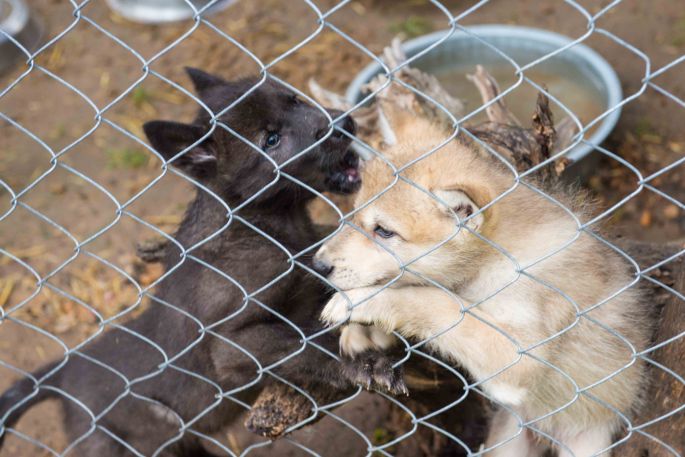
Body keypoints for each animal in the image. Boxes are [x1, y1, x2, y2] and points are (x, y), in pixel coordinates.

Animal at [311, 115, 651, 457]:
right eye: (354, 212)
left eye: (383, 231)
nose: (318, 265)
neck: (491, 258)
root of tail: (547, 433)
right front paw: (365, 332)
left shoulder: (519, 358)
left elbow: (437, 302)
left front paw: (362, 303)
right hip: (507, 442)